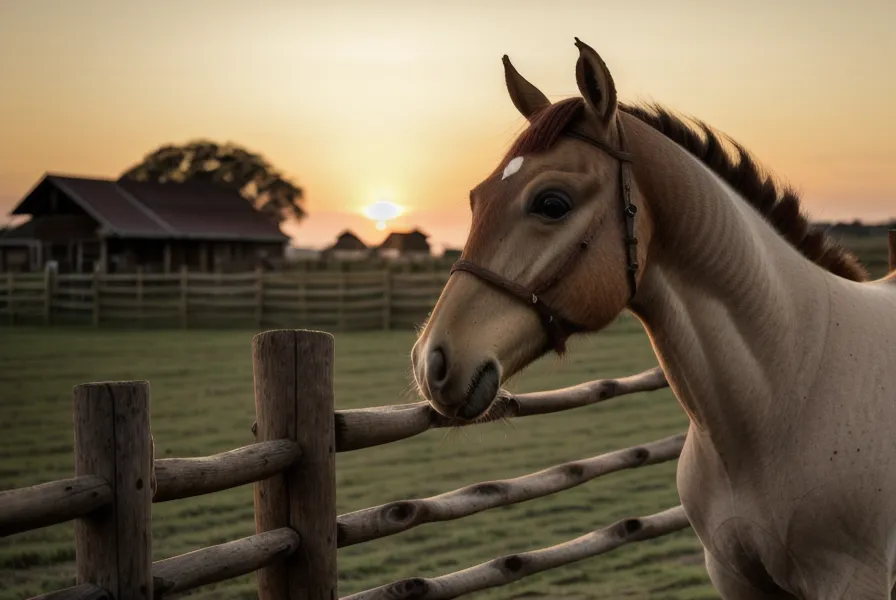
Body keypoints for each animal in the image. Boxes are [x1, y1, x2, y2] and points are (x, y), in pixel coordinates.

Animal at [410, 38, 896, 599]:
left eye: (551, 202)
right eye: (476, 198)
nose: (431, 360)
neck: (791, 388)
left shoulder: (851, 581)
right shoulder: (734, 577)